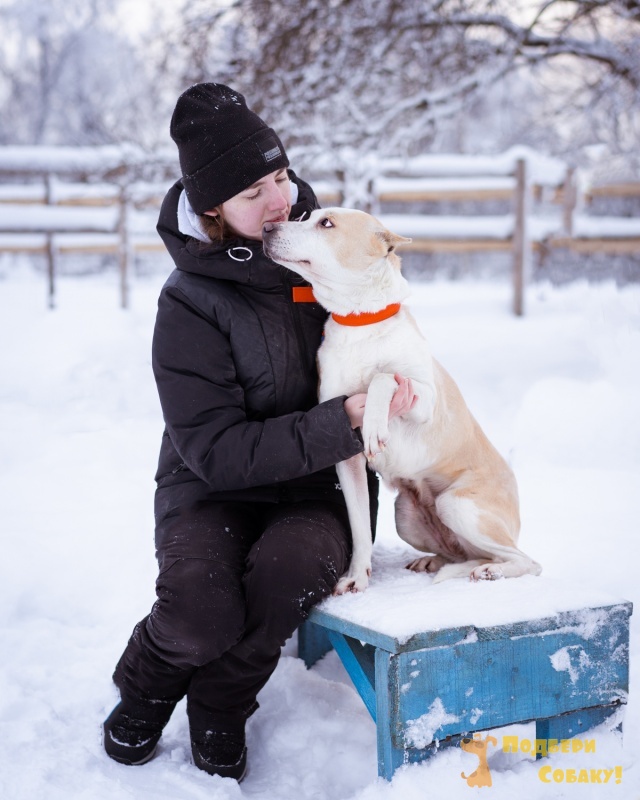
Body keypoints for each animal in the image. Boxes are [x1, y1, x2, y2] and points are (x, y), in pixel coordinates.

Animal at [263, 208, 541, 594]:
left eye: (326, 223)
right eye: (307, 216)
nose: (266, 228)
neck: (360, 323)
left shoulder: (423, 399)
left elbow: (383, 379)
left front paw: (375, 425)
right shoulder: (346, 457)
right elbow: (360, 526)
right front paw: (357, 576)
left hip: (458, 505)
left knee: (526, 561)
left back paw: (491, 572)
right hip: (405, 516)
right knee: (463, 553)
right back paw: (437, 562)